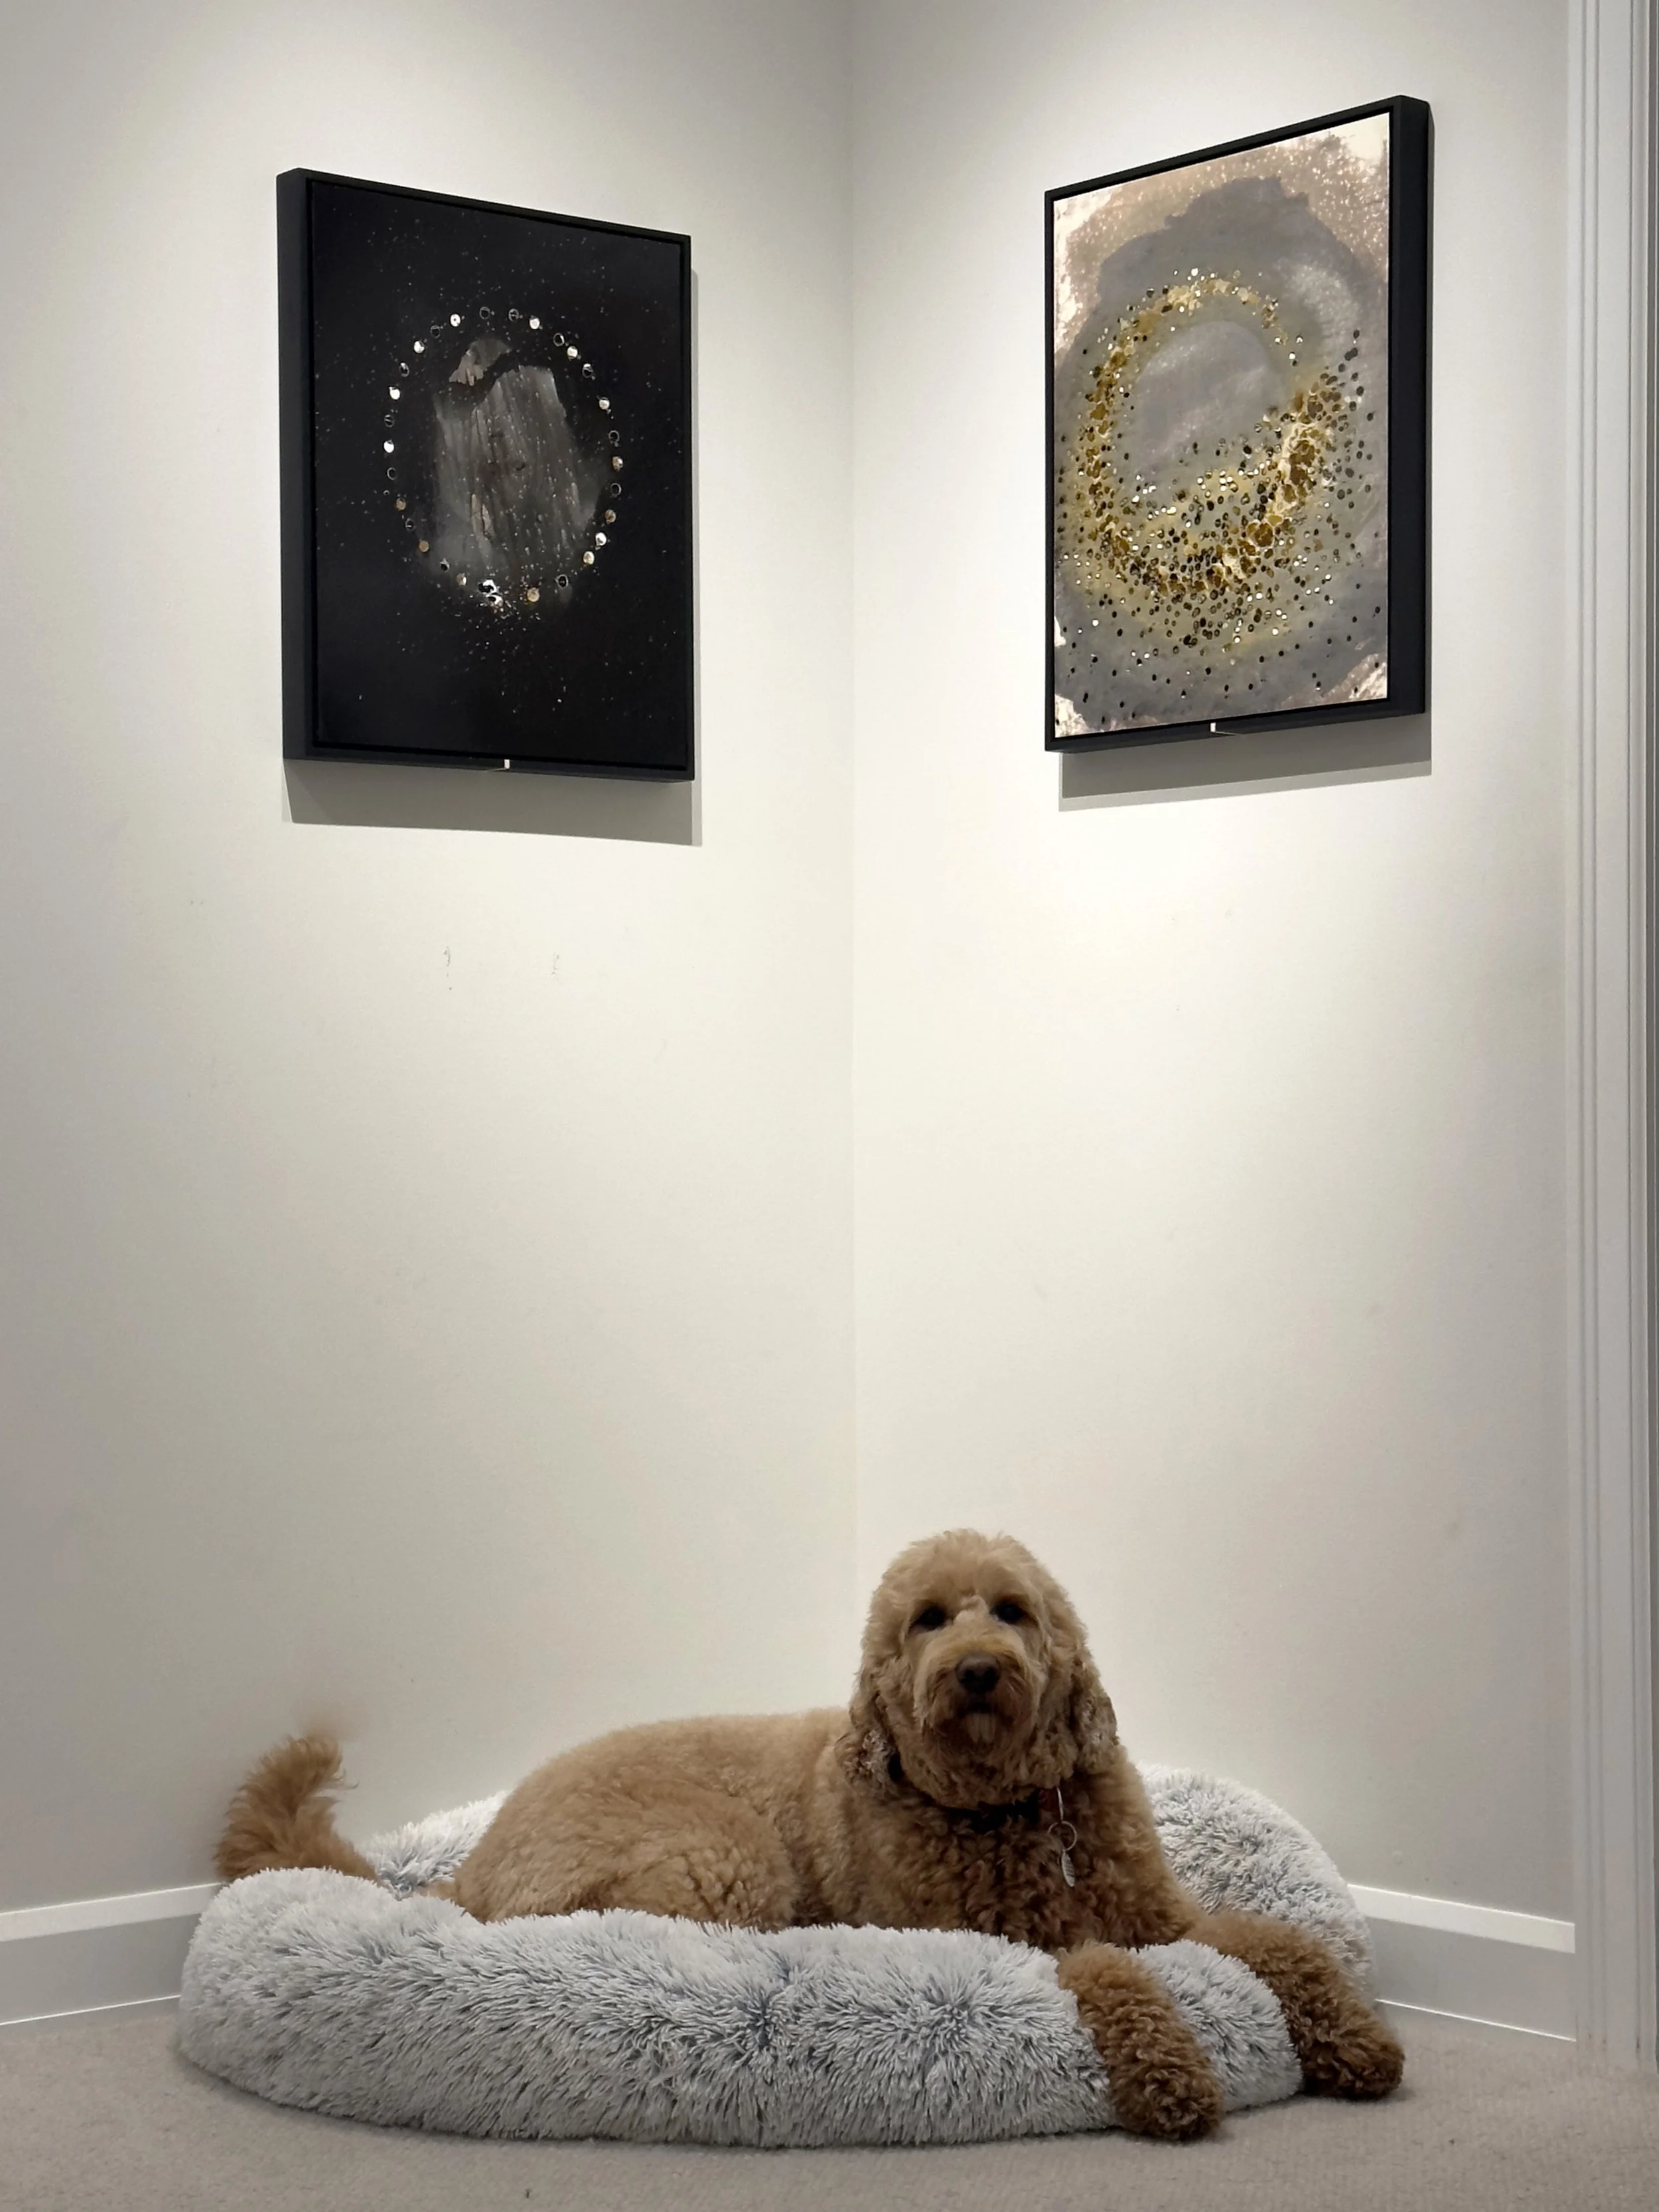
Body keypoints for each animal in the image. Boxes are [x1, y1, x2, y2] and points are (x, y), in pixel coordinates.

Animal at [217, 1527, 1402, 2139]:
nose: (977, 1670)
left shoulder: (1166, 1910)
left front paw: (1357, 2039)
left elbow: (1283, 1940)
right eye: (927, 1621)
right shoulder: (1009, 1941)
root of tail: (472, 1865)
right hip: (722, 1858)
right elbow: (1110, 1970)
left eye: (1012, 1610)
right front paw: (1171, 2078)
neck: (1014, 1807)